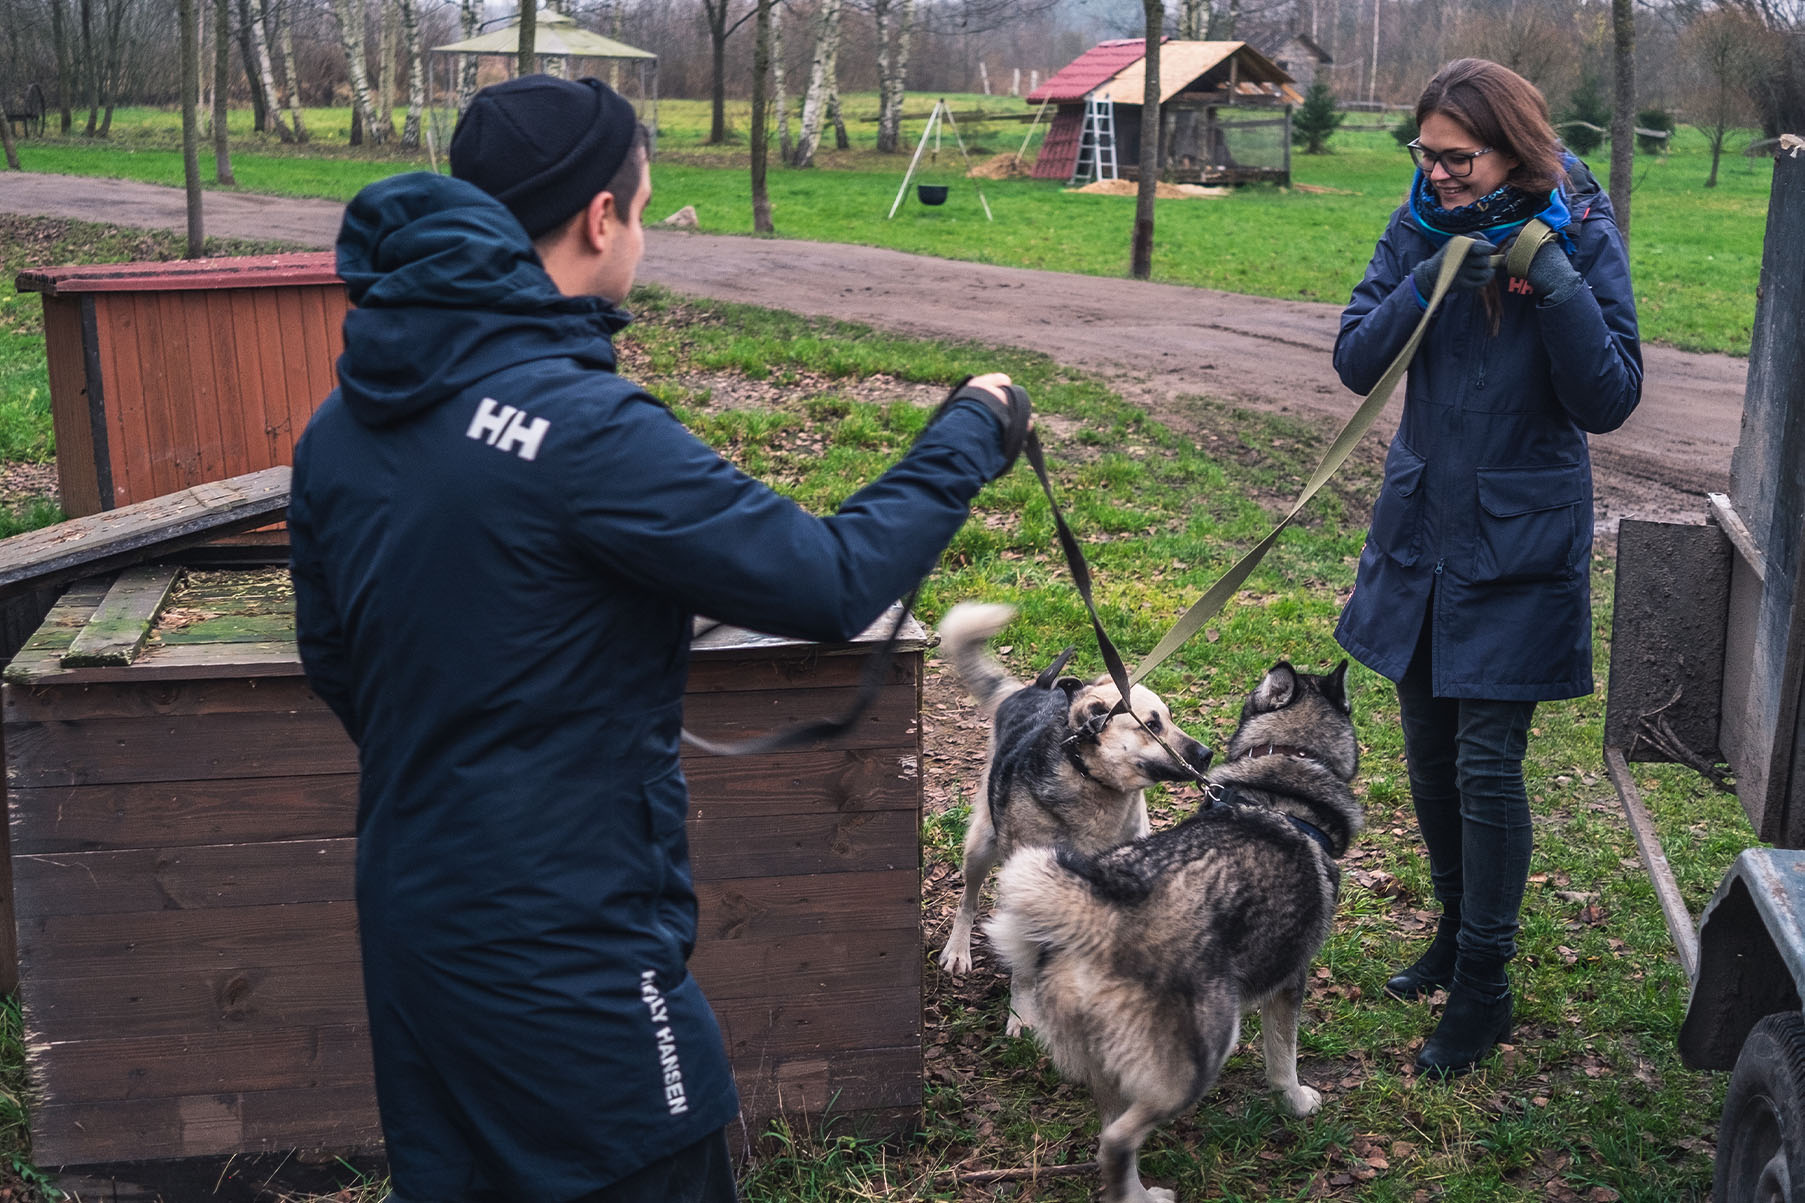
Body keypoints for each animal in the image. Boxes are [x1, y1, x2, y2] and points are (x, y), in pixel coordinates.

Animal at [931, 596, 1212, 1018]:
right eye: (1151, 725)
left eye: (1171, 719)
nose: (1207, 754)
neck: (1093, 786)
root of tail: (1032, 692)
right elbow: (1025, 963)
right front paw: (1023, 1015)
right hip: (981, 846)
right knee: (968, 898)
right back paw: (958, 949)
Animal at [989, 657, 1357, 1199]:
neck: (1280, 789)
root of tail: (1100, 912)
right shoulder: (1291, 981)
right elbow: (1282, 1060)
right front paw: (1296, 1102)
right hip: (1204, 1054)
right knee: (1117, 1140)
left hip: (1111, 1065)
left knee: (1108, 1137)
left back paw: (1136, 1193)